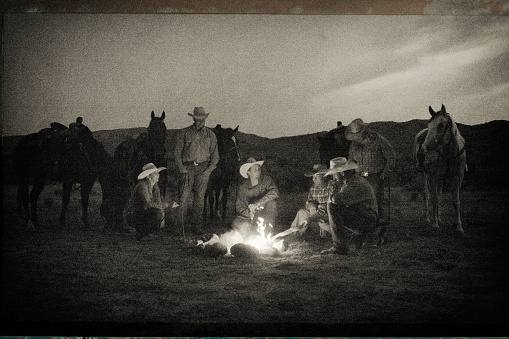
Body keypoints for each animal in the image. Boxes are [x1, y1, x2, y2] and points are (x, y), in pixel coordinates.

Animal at [410, 105, 466, 234]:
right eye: (429, 124)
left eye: (440, 125)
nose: (424, 148)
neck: (449, 153)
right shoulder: (433, 176)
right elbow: (434, 198)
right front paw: (435, 224)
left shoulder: (458, 177)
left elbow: (456, 201)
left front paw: (458, 226)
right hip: (425, 175)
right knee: (427, 195)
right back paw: (428, 218)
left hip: (441, 179)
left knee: (439, 195)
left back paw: (439, 217)